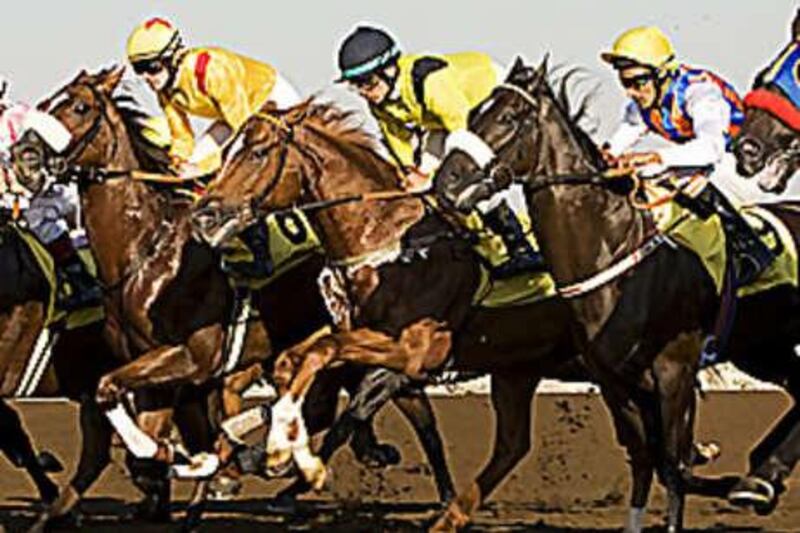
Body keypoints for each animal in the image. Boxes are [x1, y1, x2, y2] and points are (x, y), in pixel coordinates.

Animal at [434, 56, 800, 528]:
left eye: (510, 118)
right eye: (475, 113)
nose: (447, 181)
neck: (614, 257)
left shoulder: (674, 371)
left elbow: (672, 464)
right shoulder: (614, 380)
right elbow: (644, 458)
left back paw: (760, 476)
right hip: (761, 348)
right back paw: (761, 476)